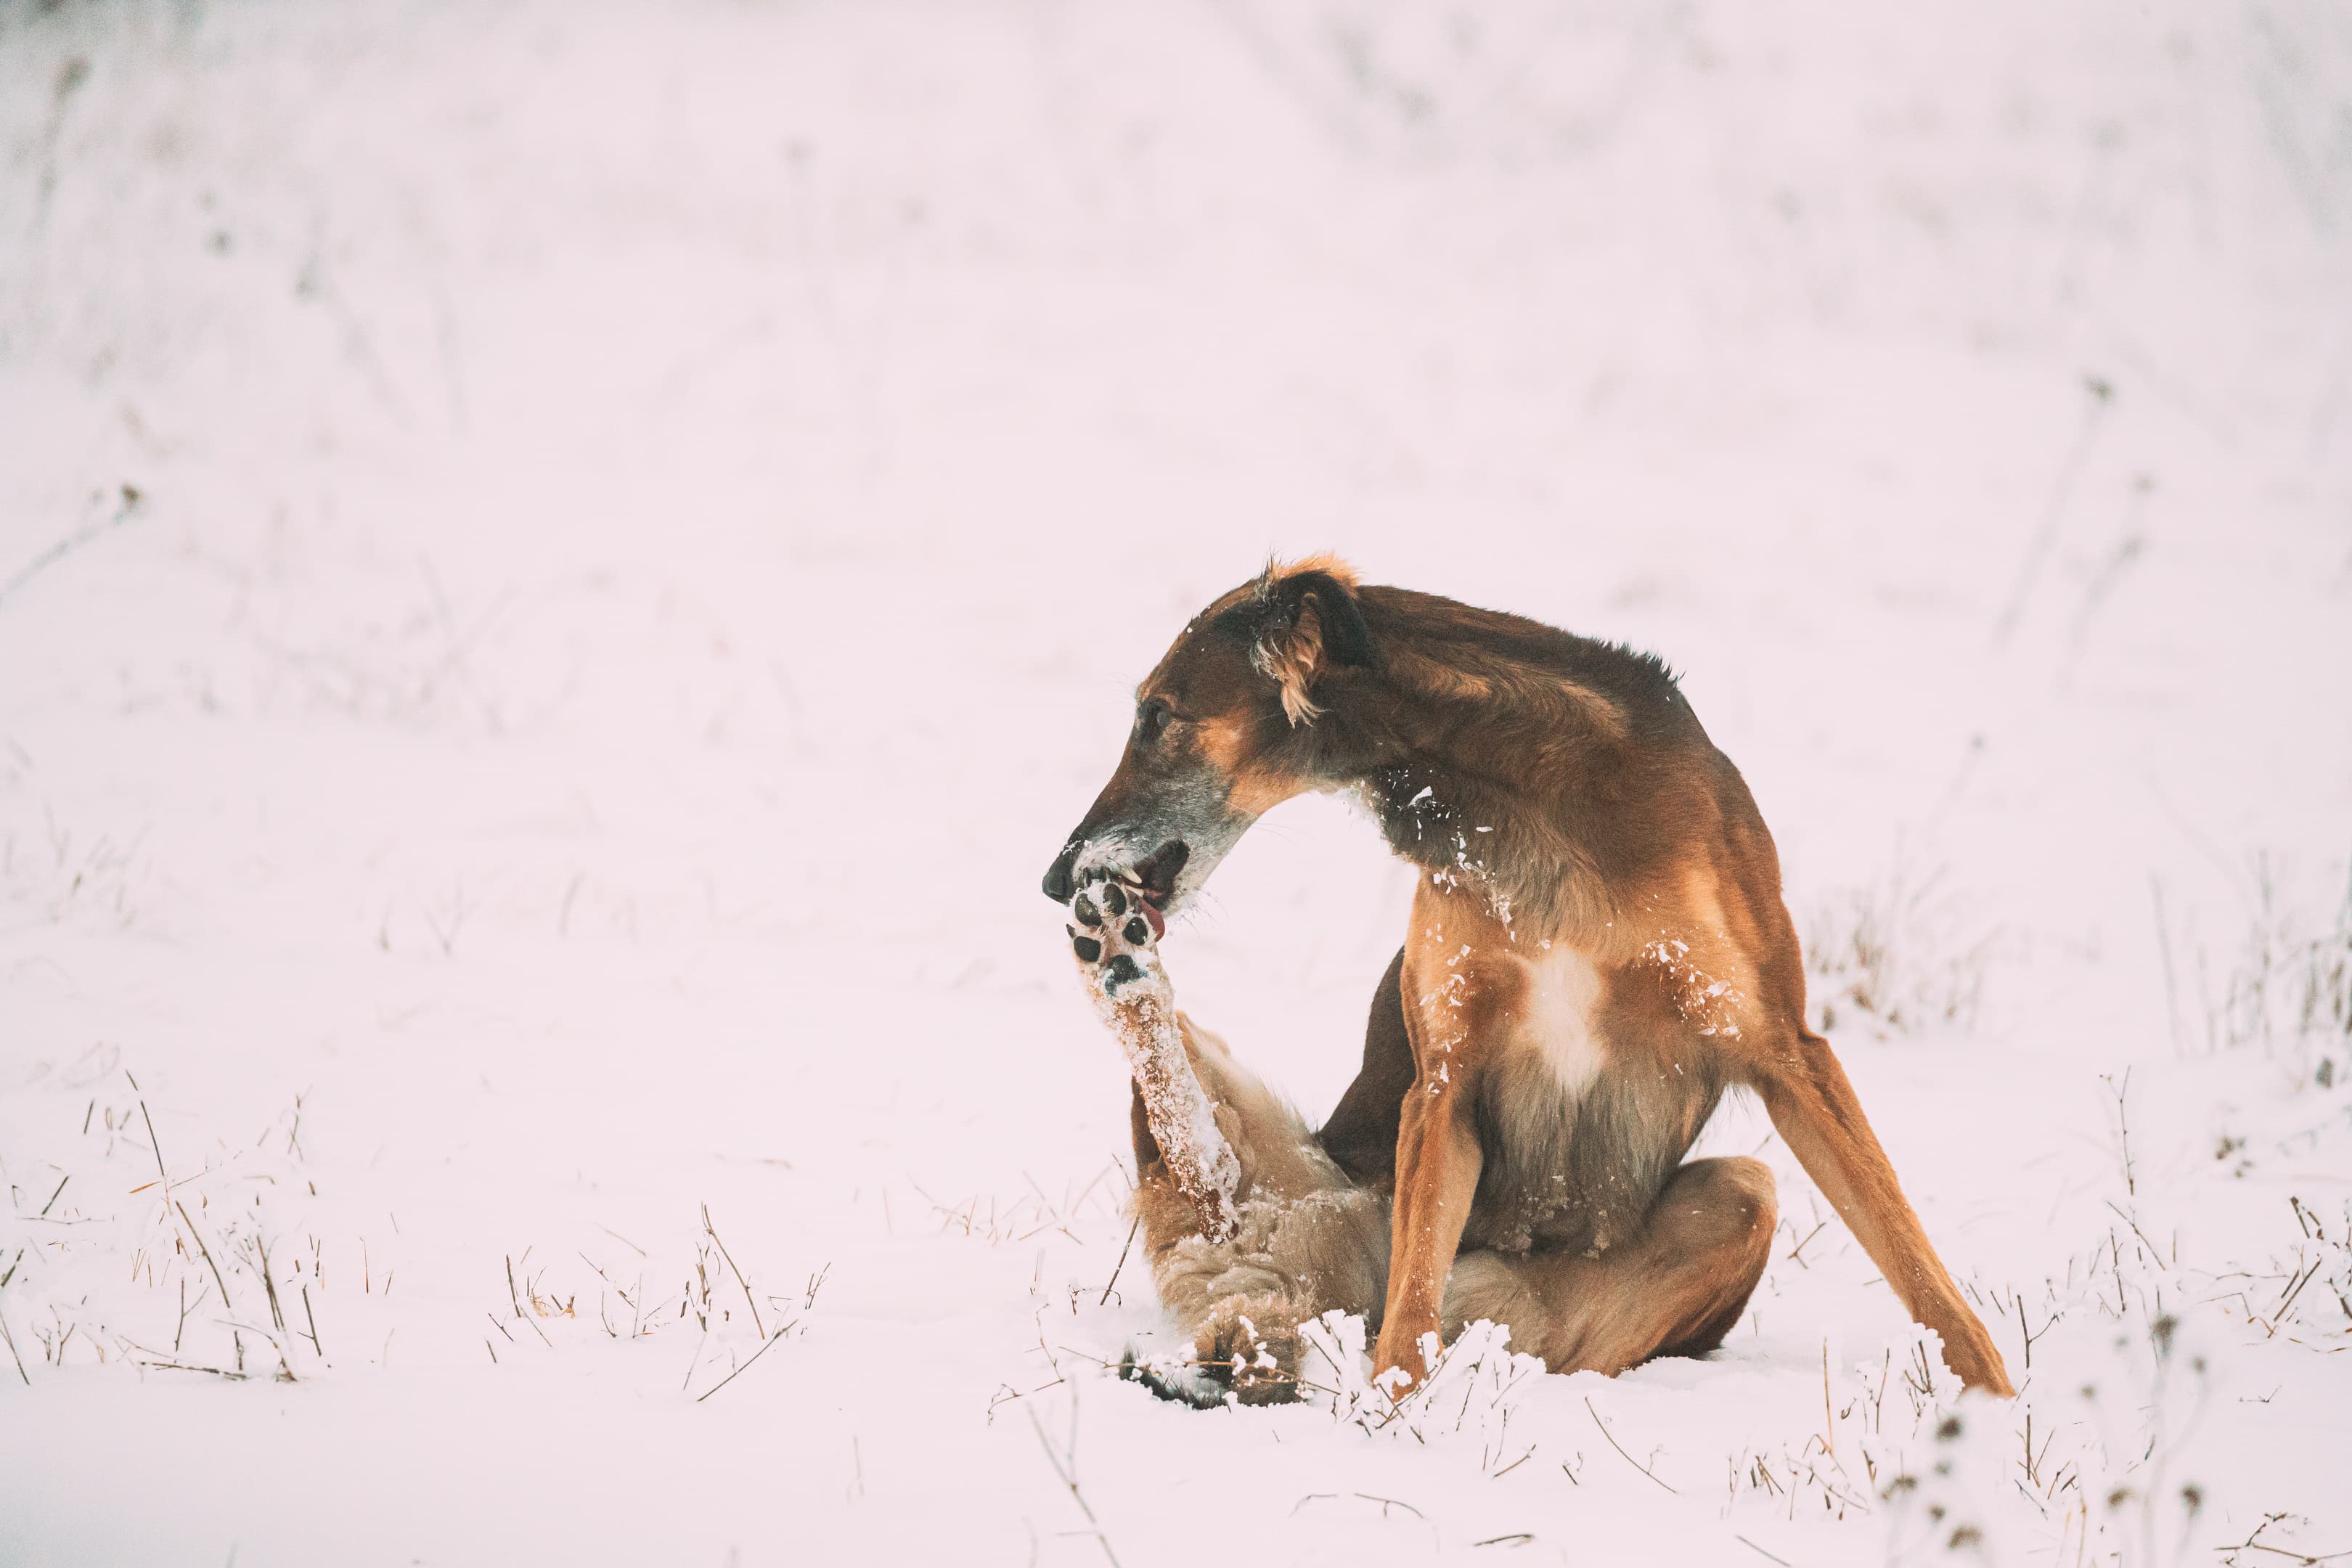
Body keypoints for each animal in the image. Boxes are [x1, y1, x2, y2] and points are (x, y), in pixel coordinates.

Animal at [1040, 561, 2013, 1410]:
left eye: (1158, 715)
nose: (1054, 878)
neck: (1525, 800)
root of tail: (1317, 1293)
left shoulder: (1785, 1049)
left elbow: (1916, 1263)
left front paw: (1997, 1411)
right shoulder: (1445, 1080)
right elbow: (1410, 1322)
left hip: (1721, 1212)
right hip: (1295, 1182)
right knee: (1209, 1160)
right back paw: (1117, 958)